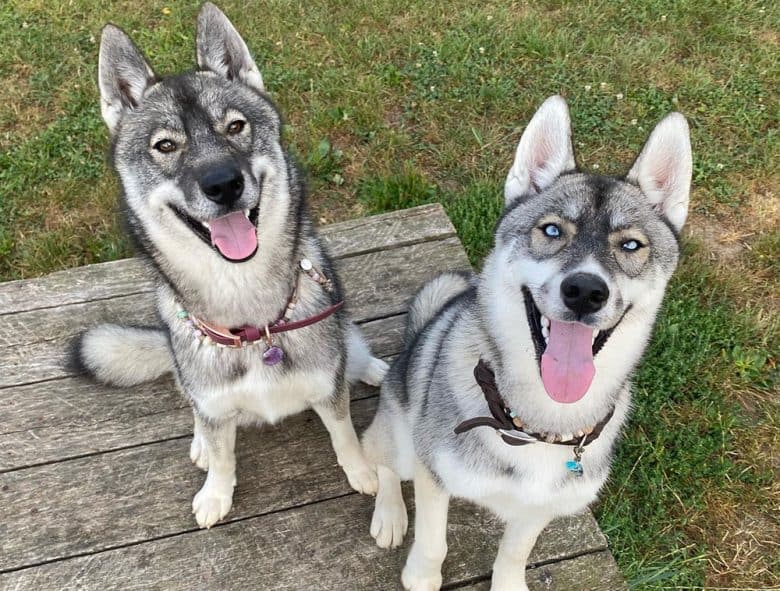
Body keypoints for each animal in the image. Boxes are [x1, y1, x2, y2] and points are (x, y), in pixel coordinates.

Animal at [76, 3, 386, 532]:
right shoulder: (215, 403)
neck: (253, 326)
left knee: (355, 352)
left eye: (236, 127)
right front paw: (216, 492)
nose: (222, 183)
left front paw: (362, 471)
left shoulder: (327, 386)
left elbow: (343, 432)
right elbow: (223, 453)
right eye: (165, 146)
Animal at [362, 95, 692, 588]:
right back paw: (389, 515)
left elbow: (515, 551)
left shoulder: (541, 507)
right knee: (381, 462)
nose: (585, 291)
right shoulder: (432, 472)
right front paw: (422, 575)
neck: (537, 422)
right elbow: (433, 542)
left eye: (631, 245)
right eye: (552, 230)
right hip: (398, 439)